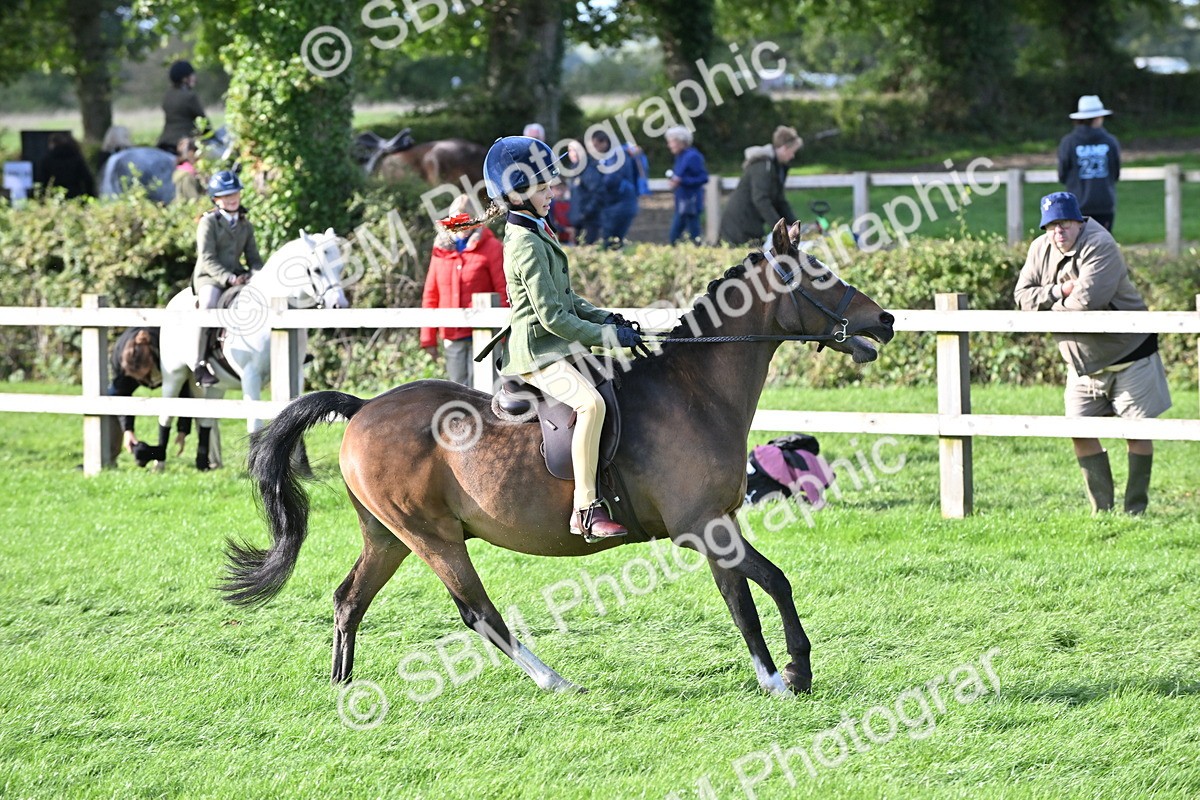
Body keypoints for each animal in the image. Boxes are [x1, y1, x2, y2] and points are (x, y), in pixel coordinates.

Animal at [153, 228, 350, 470]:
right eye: (316, 270)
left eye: (340, 267)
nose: (339, 305)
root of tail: (174, 302)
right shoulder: (251, 377)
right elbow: (255, 421)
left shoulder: (296, 374)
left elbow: (295, 412)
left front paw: (301, 466)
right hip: (174, 375)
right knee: (166, 414)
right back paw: (159, 462)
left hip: (216, 385)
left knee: (207, 417)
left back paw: (203, 463)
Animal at [221, 220, 895, 695]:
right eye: (821, 276)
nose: (885, 320)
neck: (695, 391)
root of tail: (362, 410)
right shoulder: (702, 527)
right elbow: (749, 598)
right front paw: (778, 678)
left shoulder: (720, 523)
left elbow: (766, 586)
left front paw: (794, 670)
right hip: (433, 537)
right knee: (478, 613)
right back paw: (556, 681)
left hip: (387, 536)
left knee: (349, 599)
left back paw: (342, 687)